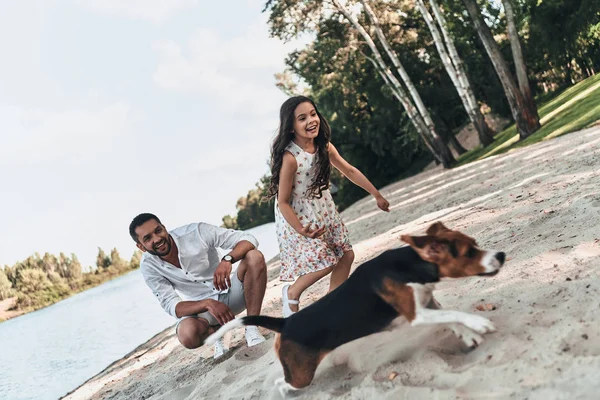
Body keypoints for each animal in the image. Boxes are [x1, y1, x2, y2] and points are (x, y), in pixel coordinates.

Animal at [205, 223, 506, 396]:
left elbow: (449, 318)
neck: (411, 265)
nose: (501, 255)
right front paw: (478, 324)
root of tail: (285, 323)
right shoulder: (416, 314)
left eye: (474, 244)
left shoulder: (426, 304)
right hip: (301, 376)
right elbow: (454, 315)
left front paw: (469, 334)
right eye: (469, 253)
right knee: (283, 385)